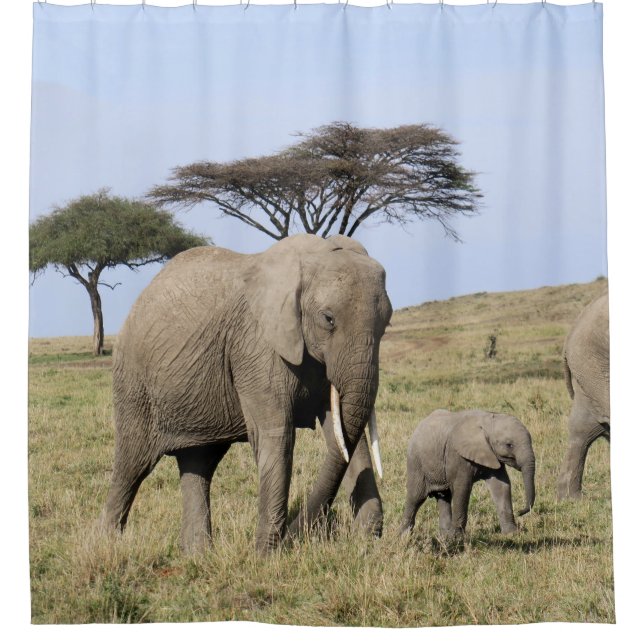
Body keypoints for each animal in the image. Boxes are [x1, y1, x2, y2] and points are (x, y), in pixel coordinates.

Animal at [99, 234, 392, 554]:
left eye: (387, 322)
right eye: (328, 319)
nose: (295, 533)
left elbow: (343, 435)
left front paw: (367, 539)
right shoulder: (256, 347)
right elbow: (278, 436)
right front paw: (267, 553)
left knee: (198, 464)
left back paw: (197, 555)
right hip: (133, 383)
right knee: (132, 464)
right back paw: (108, 545)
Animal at [400, 410, 536, 539]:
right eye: (509, 445)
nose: (520, 511)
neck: (487, 420)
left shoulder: (492, 454)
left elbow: (501, 486)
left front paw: (512, 534)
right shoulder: (457, 455)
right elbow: (462, 489)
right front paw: (457, 538)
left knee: (444, 496)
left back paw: (444, 537)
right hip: (415, 463)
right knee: (416, 497)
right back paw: (404, 537)